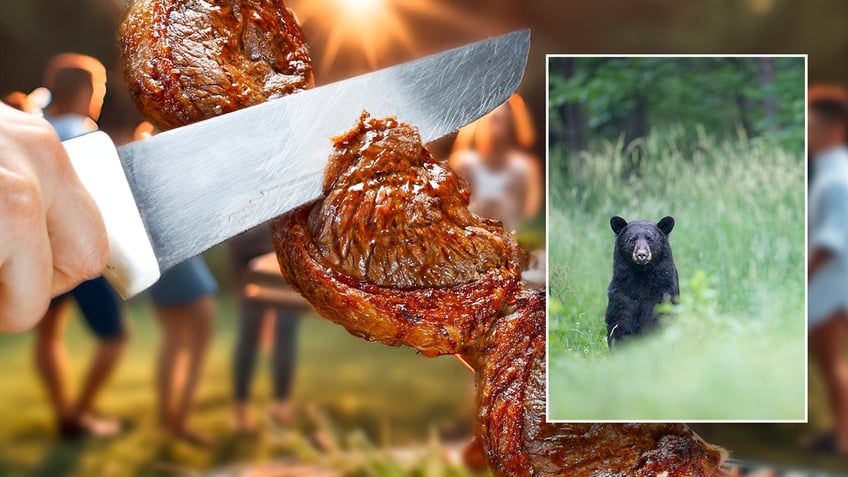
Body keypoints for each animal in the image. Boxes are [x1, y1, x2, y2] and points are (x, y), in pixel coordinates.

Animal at [608, 216, 680, 346]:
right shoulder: (622, 291)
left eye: (650, 240)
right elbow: (619, 320)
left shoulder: (663, 291)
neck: (642, 276)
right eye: (631, 240)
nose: (642, 255)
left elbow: (658, 317)